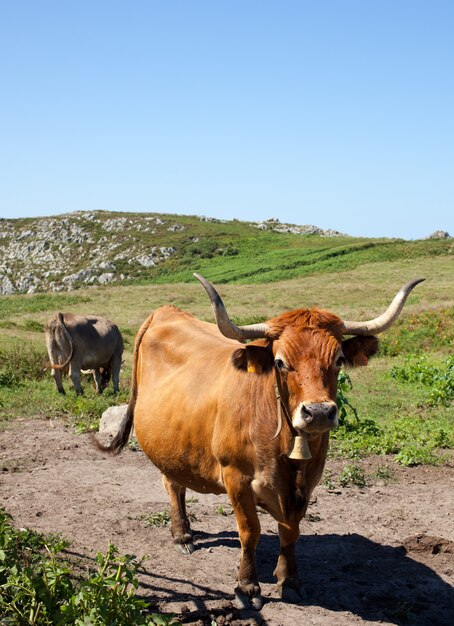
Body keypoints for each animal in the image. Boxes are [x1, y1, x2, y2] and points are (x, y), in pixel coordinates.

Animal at [95, 276, 422, 608]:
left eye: (339, 360)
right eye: (280, 362)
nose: (318, 412)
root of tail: (166, 311)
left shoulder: (306, 483)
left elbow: (291, 531)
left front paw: (290, 580)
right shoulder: (236, 477)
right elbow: (250, 531)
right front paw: (247, 586)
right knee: (173, 486)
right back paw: (182, 535)